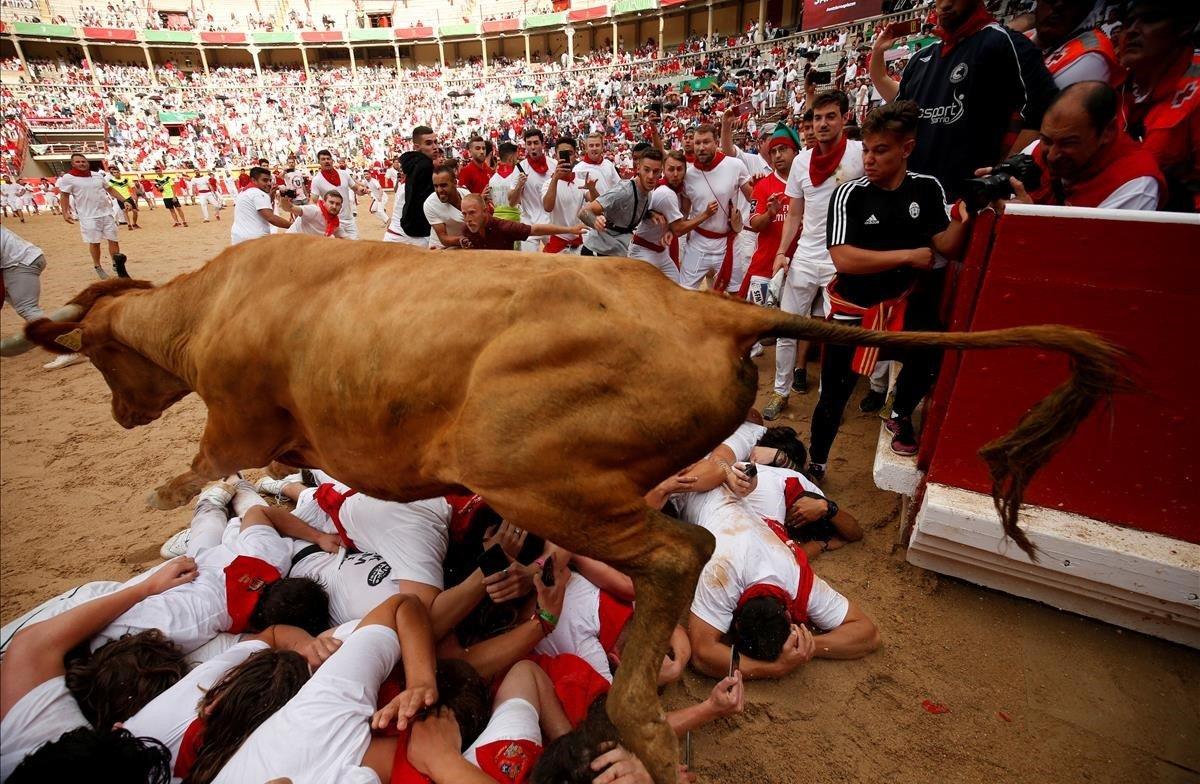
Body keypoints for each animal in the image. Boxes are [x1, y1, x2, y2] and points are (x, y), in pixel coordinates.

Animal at [2, 234, 1123, 782]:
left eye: (100, 354)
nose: (121, 406)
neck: (213, 306)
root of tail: (710, 307)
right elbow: (272, 484)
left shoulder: (235, 420)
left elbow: (202, 472)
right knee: (682, 534)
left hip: (531, 467)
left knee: (674, 554)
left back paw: (642, 723)